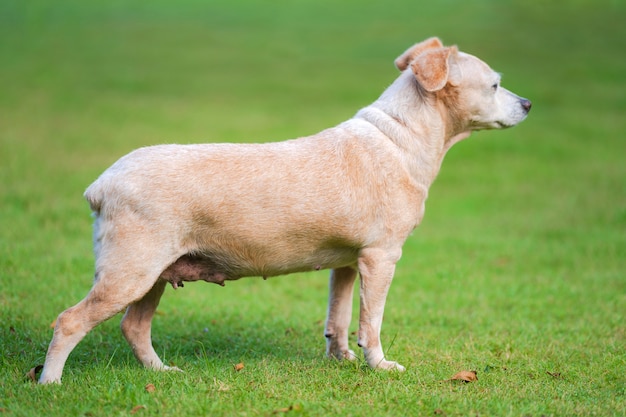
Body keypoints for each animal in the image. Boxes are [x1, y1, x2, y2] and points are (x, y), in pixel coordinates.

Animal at [37, 37, 528, 382]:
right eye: (495, 84)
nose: (527, 104)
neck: (399, 137)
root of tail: (102, 185)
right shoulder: (382, 257)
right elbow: (371, 320)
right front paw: (379, 365)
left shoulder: (348, 262)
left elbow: (339, 315)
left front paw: (341, 358)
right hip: (130, 271)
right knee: (69, 322)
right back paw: (50, 384)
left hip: (153, 273)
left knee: (135, 327)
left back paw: (163, 373)